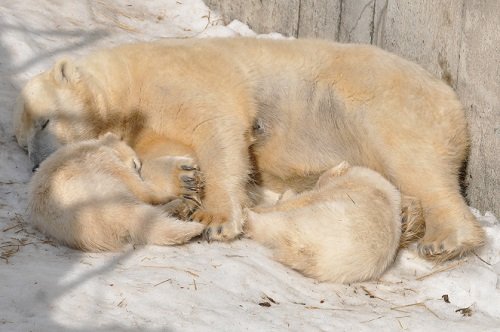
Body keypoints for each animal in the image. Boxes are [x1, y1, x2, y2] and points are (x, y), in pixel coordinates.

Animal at [28, 133, 204, 252]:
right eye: (136, 165)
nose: (138, 169)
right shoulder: (100, 157)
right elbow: (139, 188)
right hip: (99, 191)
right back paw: (187, 215)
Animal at [245, 161, 410, 282]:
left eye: (319, 180)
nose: (317, 181)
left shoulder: (343, 189)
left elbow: (305, 199)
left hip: (315, 220)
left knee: (278, 222)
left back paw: (249, 217)